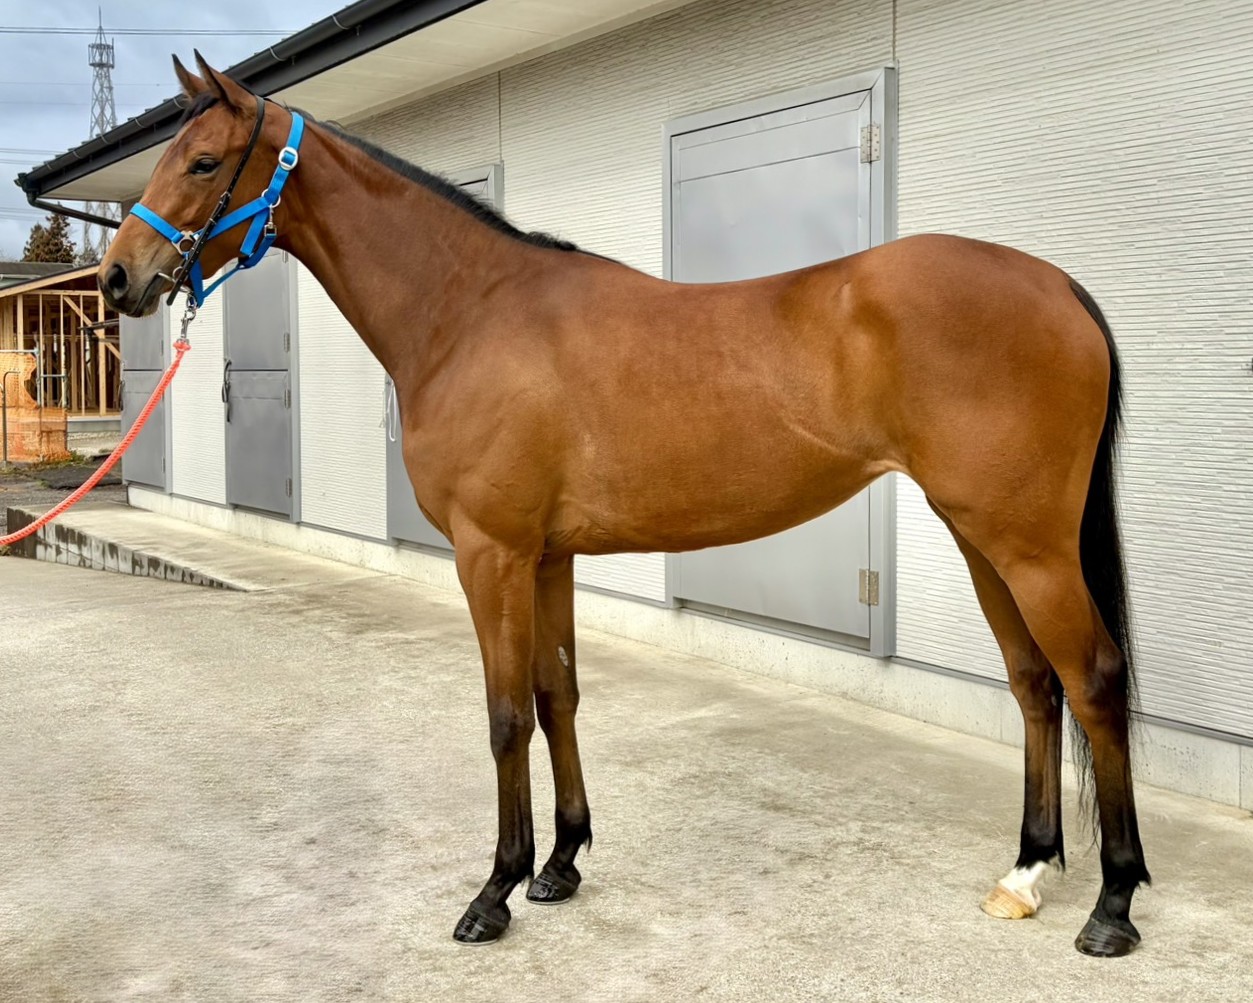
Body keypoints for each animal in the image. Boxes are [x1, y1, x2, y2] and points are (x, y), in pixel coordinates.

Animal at [98, 54, 1148, 958]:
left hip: (1027, 542)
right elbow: (556, 695)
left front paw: (494, 890)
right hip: (981, 535)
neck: (468, 312)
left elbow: (504, 714)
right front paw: (561, 863)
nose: (118, 279)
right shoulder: (547, 555)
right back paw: (1024, 871)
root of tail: (1056, 285)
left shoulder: (491, 553)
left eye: (201, 161)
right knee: (1034, 683)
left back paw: (1111, 903)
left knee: (1093, 679)